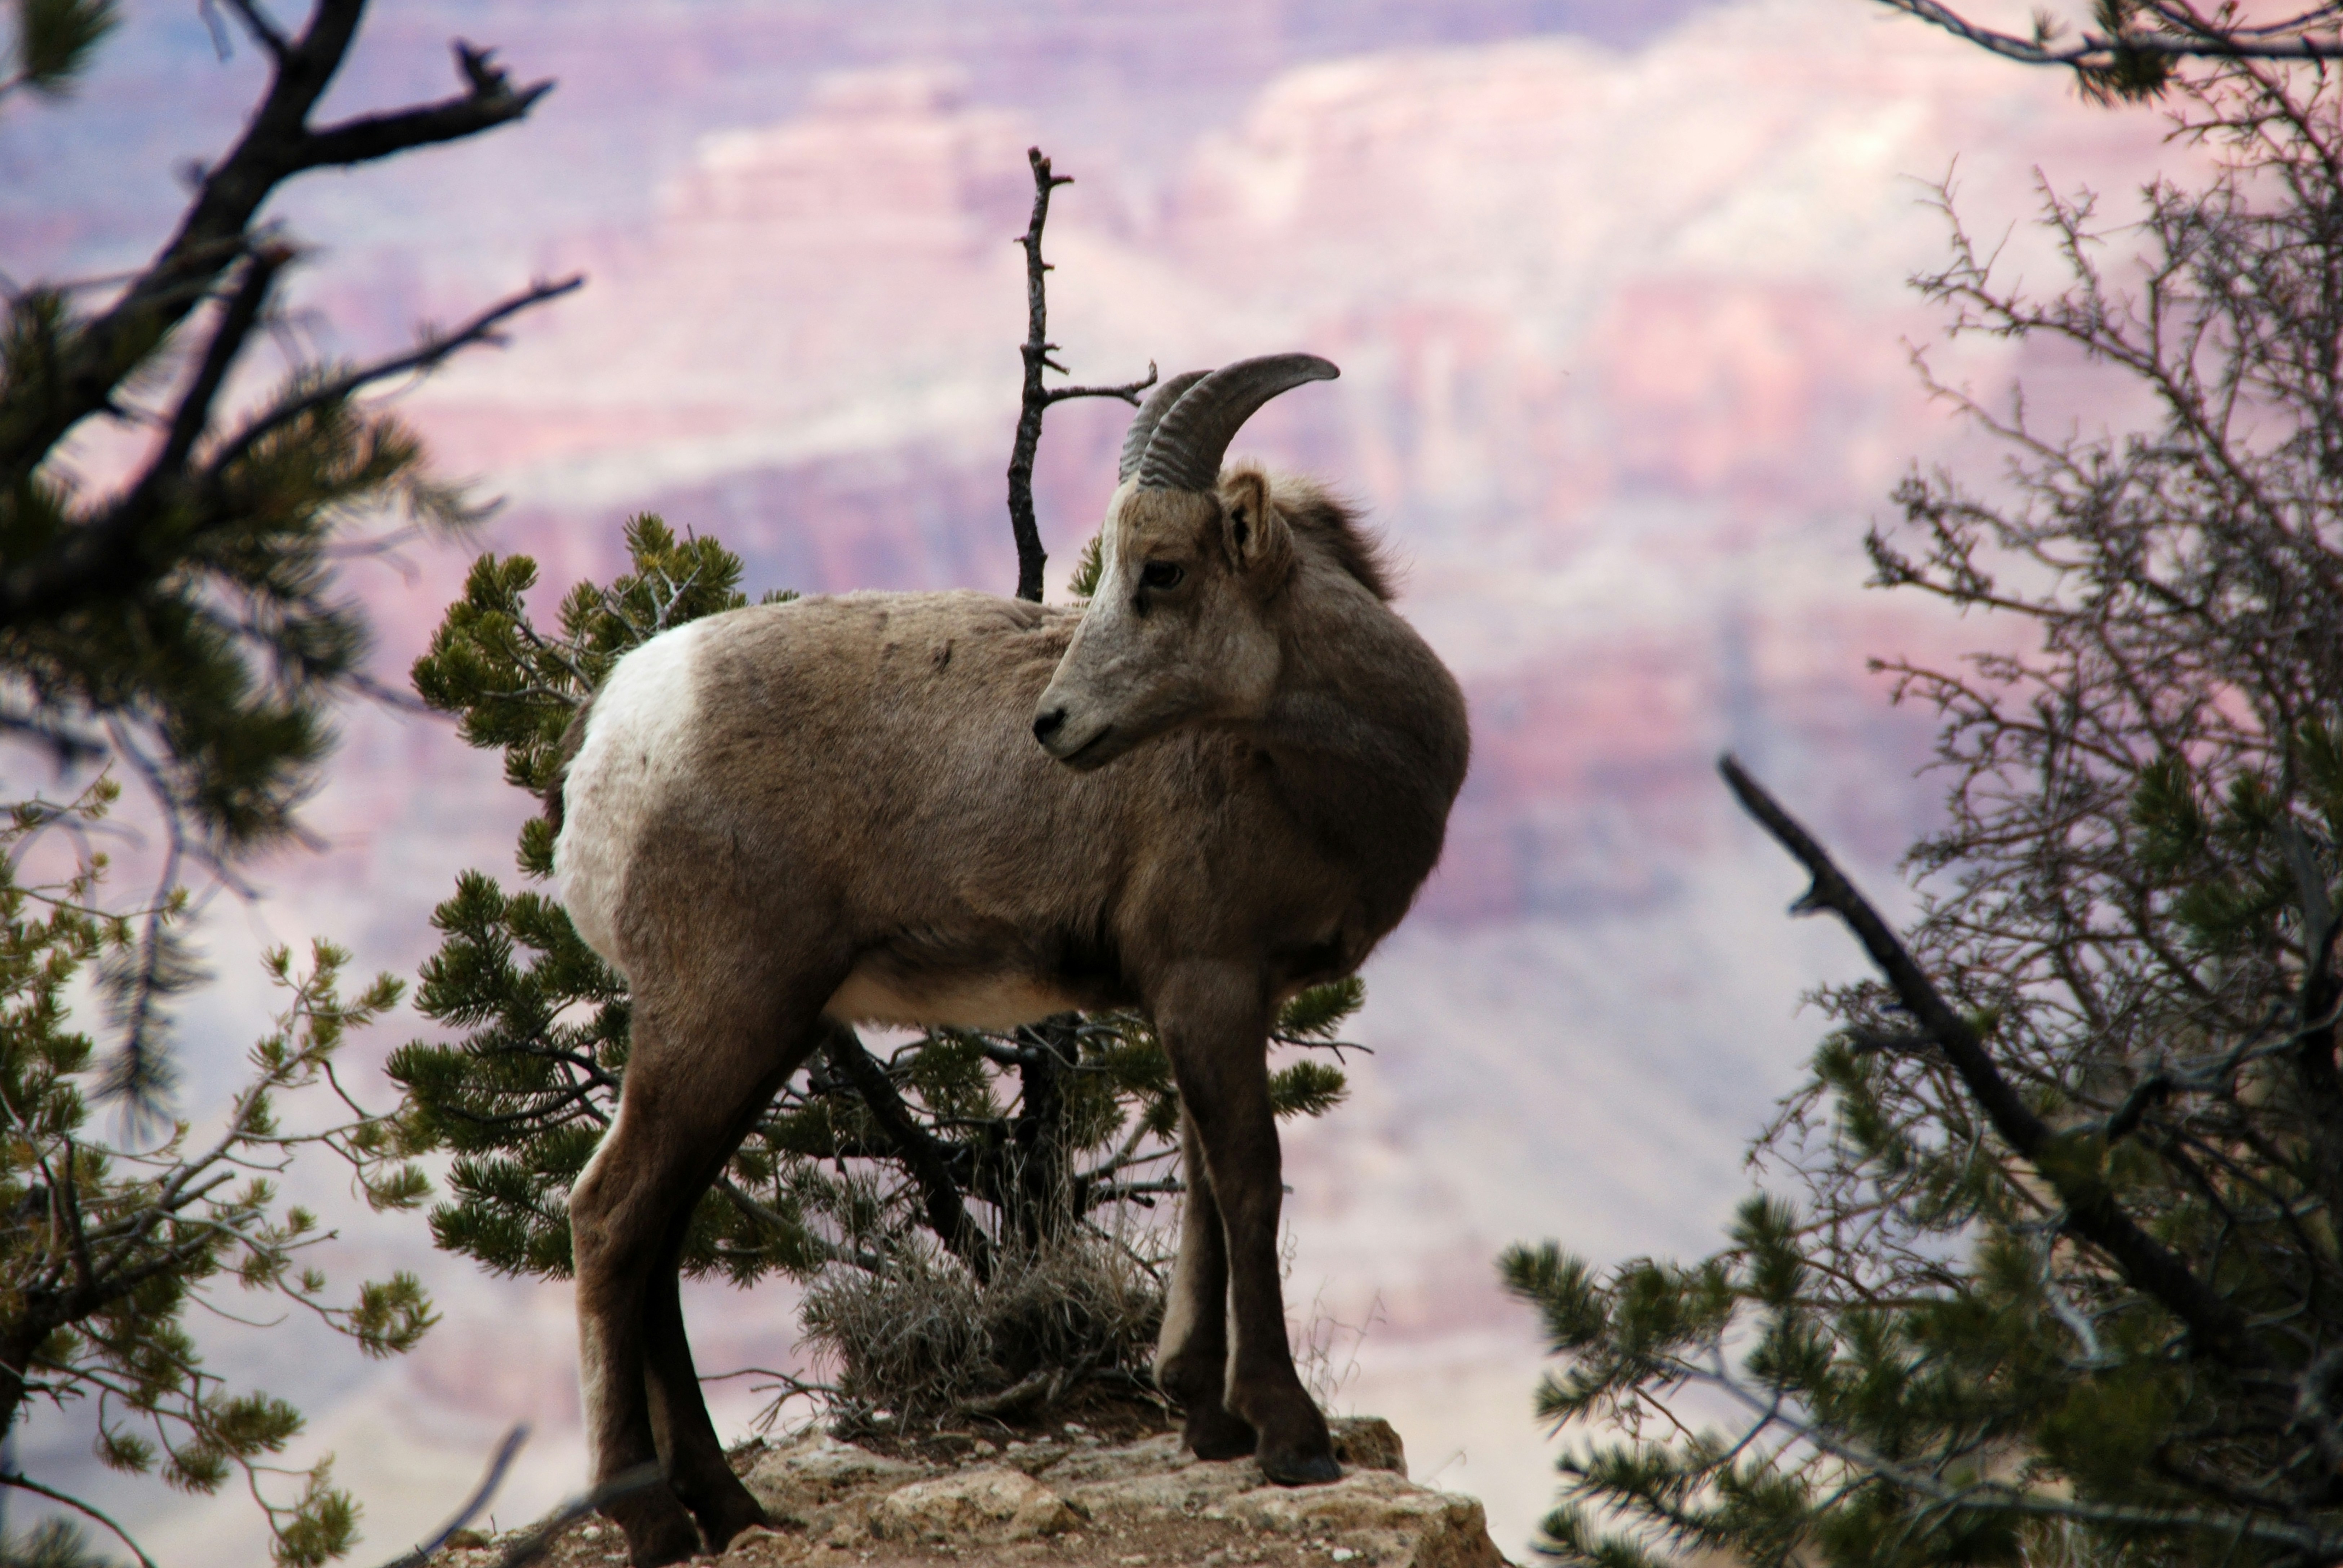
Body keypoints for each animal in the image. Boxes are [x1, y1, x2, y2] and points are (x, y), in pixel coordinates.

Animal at [551, 353, 1471, 1567]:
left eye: (1163, 570)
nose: (1057, 723)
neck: (1330, 781)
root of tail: (617, 740)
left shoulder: (1217, 998)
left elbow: (1206, 1188)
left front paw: (1206, 1414)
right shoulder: (1209, 982)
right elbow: (1250, 1180)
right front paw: (1288, 1438)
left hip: (754, 1033)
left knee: (660, 1235)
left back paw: (733, 1507)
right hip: (720, 1016)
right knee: (615, 1217)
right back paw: (655, 1520)